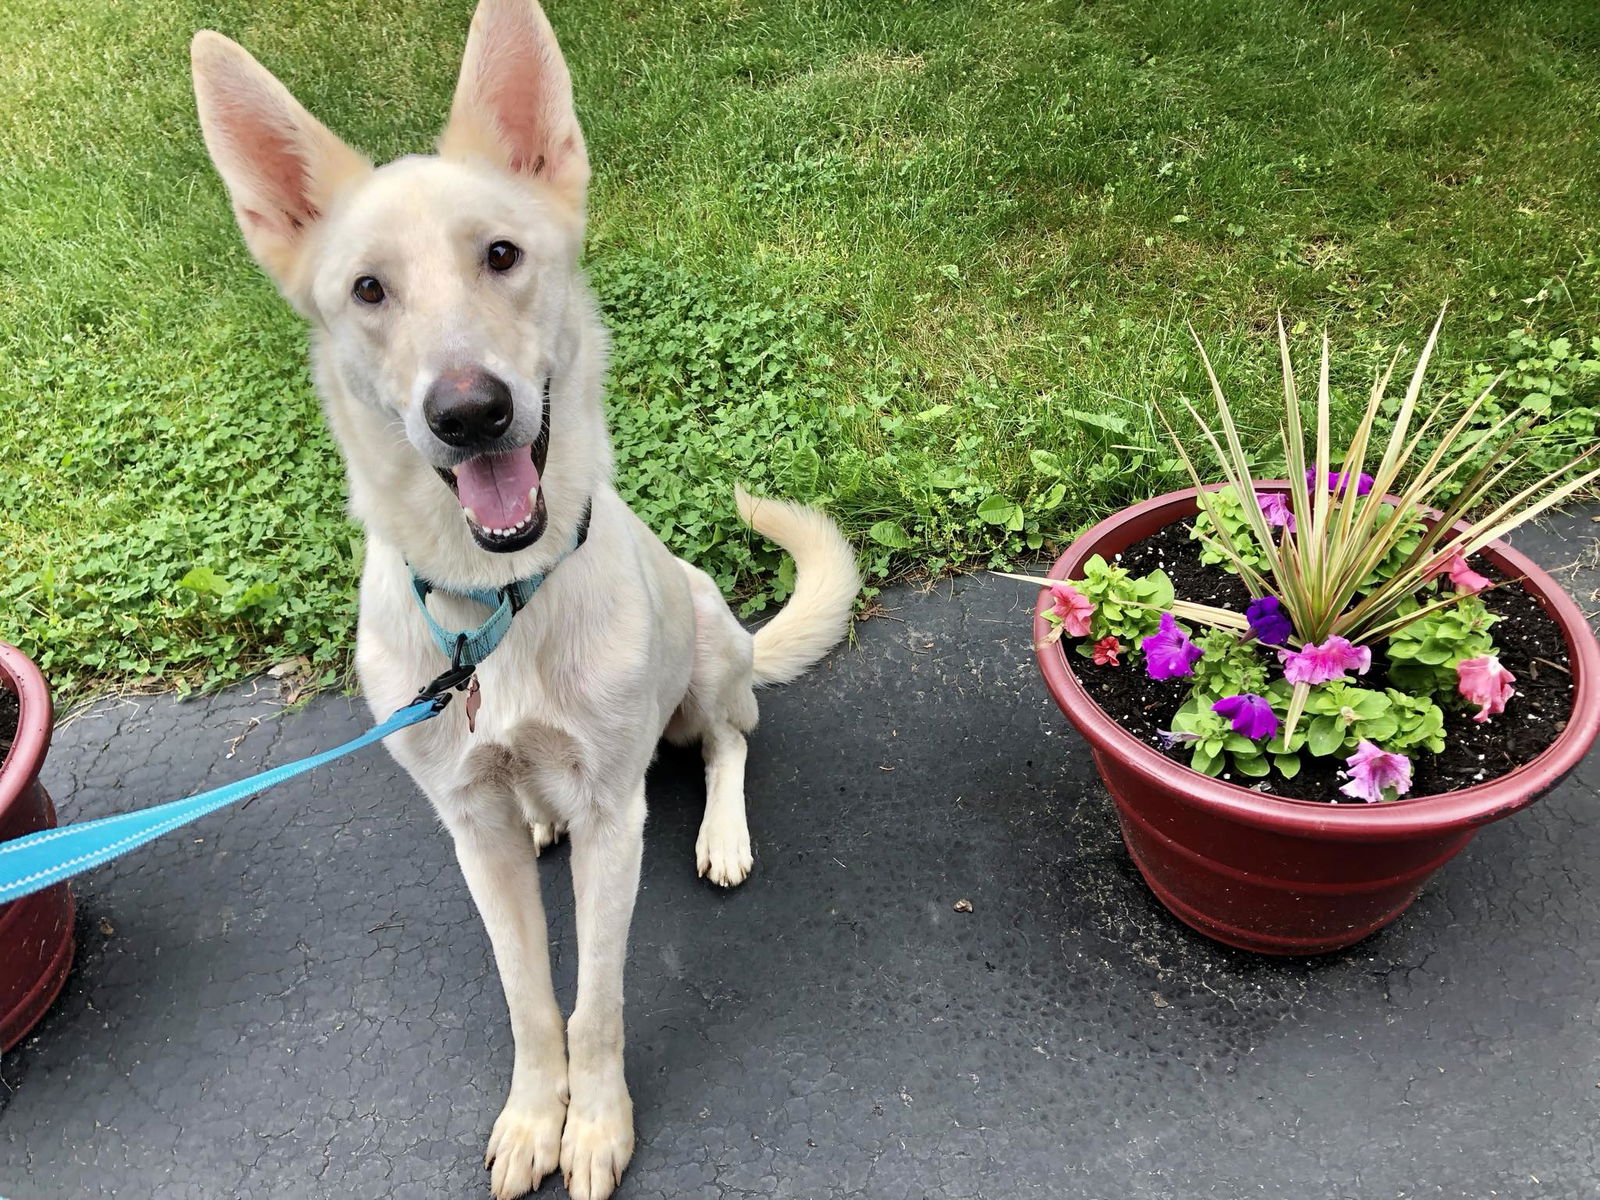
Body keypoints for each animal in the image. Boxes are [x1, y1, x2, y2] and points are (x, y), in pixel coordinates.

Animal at [188, 4, 864, 1196]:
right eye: (368, 291)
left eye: (501, 255)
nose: (469, 411)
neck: (493, 606)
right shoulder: (471, 833)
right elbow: (529, 998)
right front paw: (532, 1115)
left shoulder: (611, 822)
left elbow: (594, 1004)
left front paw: (592, 1126)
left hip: (708, 646)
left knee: (730, 738)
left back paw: (722, 828)